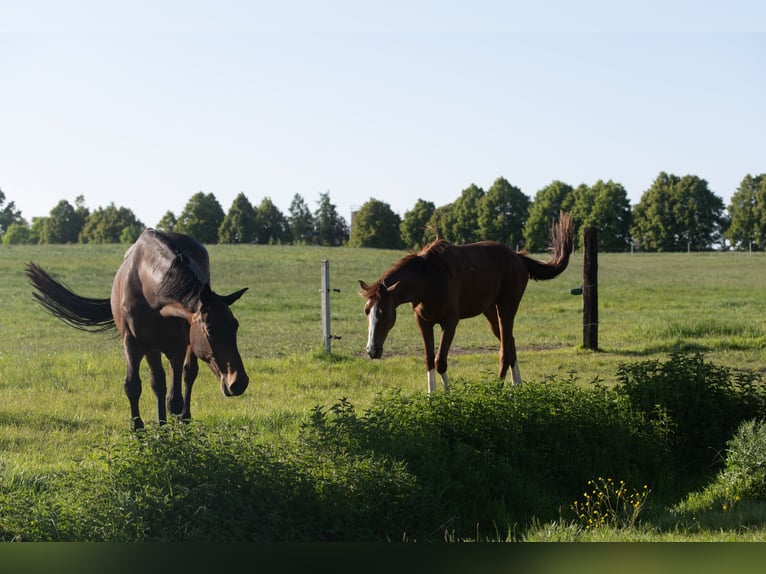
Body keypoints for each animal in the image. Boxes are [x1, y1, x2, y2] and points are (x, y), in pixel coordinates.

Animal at [25, 227, 249, 430]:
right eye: (210, 330)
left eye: (235, 327)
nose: (239, 382)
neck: (148, 287)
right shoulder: (134, 343)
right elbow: (134, 386)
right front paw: (140, 431)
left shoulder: (177, 346)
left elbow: (174, 399)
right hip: (152, 348)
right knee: (158, 382)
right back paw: (162, 425)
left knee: (188, 374)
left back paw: (183, 420)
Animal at [364, 214, 572, 394]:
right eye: (367, 311)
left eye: (383, 312)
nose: (372, 350)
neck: (428, 277)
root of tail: (517, 256)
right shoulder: (423, 321)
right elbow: (429, 360)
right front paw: (432, 396)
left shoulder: (450, 322)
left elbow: (440, 361)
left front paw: (449, 397)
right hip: (490, 311)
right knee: (510, 343)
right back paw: (517, 385)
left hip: (507, 307)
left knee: (504, 351)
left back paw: (499, 389)